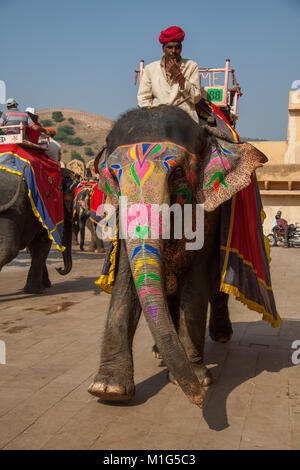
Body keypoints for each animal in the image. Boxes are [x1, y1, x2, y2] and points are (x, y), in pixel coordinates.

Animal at [0, 163, 76, 292]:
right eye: (68, 200)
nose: (59, 268)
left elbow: (34, 246)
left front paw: (43, 286)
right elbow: (42, 243)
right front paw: (37, 290)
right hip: (11, 210)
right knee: (8, 250)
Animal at [88, 104, 266, 406]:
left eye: (179, 171)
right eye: (112, 174)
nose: (200, 400)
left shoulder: (208, 212)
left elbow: (195, 285)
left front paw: (200, 378)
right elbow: (126, 281)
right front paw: (108, 389)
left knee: (217, 289)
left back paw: (221, 337)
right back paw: (159, 351)